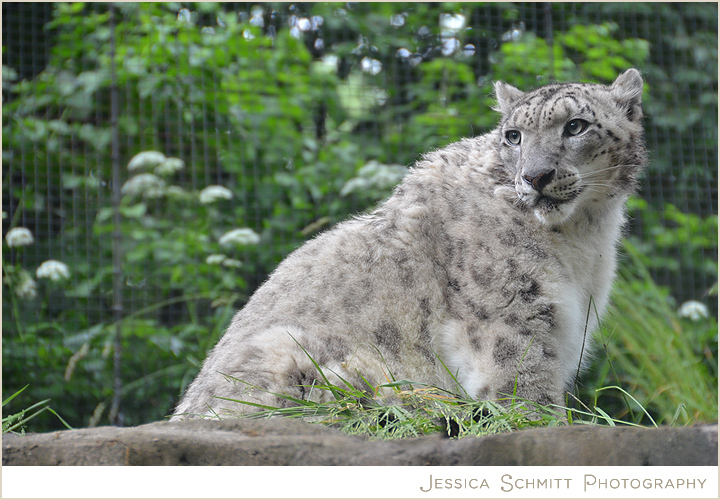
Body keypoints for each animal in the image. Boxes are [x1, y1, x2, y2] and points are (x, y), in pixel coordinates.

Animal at [171, 69, 646, 420]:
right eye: (513, 136)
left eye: (575, 126)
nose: (535, 176)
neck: (583, 241)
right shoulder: (513, 317)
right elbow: (525, 391)